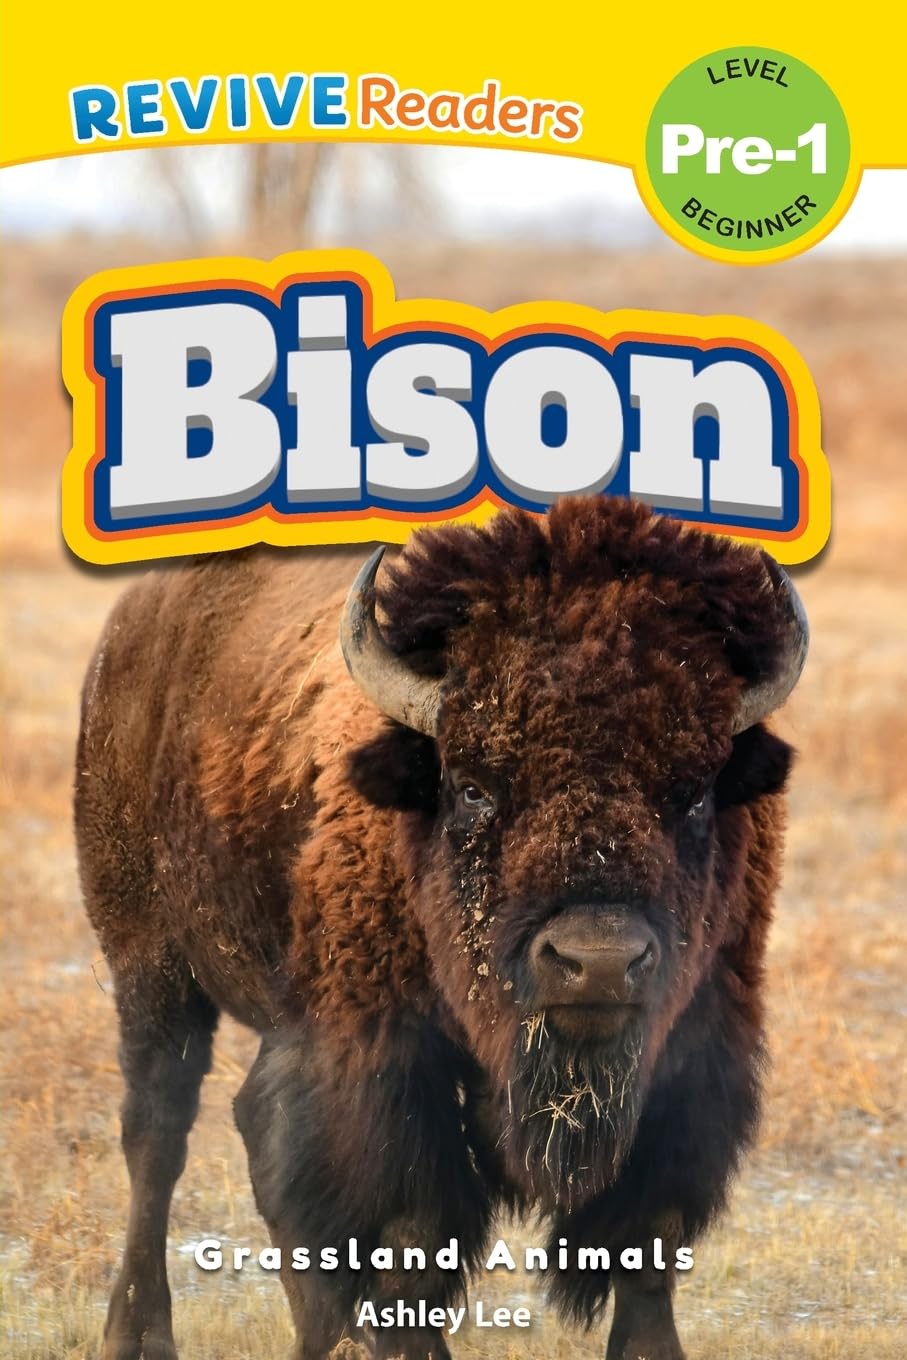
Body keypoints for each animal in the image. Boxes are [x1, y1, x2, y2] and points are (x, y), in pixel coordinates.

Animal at [75, 496, 807, 1360]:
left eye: (694, 793)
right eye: (472, 787)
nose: (597, 962)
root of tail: (134, 622)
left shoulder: (693, 1052)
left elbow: (647, 1230)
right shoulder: (383, 1060)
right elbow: (410, 1229)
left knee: (252, 1131)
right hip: (149, 959)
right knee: (159, 1131)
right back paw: (137, 1332)